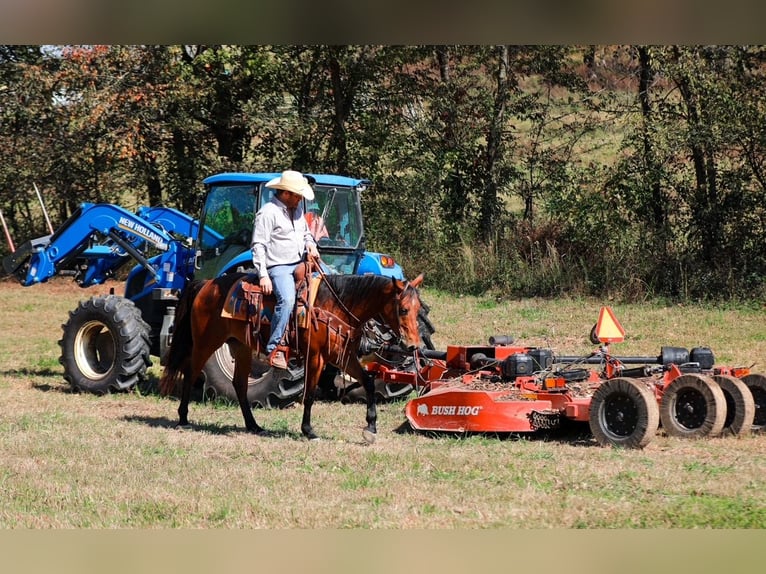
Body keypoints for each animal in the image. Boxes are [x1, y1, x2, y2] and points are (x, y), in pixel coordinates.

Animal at [159, 269, 424, 441]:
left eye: (419, 309)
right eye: (403, 309)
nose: (413, 345)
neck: (335, 306)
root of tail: (207, 283)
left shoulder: (344, 356)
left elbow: (368, 382)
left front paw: (371, 426)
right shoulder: (316, 356)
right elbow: (309, 394)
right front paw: (308, 430)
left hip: (241, 347)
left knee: (239, 384)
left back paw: (253, 425)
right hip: (206, 342)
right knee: (191, 372)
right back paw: (183, 418)